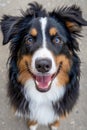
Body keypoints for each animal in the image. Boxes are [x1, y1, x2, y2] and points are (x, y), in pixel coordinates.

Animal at [0, 2, 87, 130]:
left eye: (57, 39)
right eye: (29, 40)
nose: (42, 65)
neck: (43, 95)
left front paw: (54, 125)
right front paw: (32, 124)